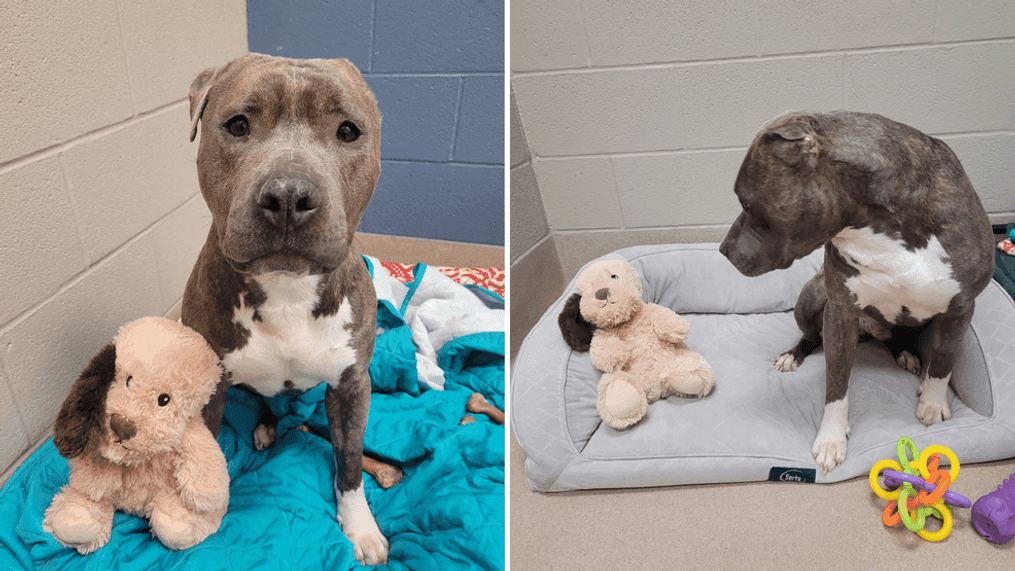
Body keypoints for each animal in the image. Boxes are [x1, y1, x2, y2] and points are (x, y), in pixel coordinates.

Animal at [182, 52, 387, 563]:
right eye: (237, 125)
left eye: (348, 131)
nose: (290, 195)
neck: (287, 289)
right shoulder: (210, 391)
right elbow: (206, 456)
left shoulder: (352, 386)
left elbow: (350, 461)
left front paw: (361, 527)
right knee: (265, 399)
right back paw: (265, 427)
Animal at [718, 110, 994, 474]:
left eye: (746, 202)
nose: (724, 249)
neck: (880, 226)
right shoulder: (840, 311)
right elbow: (836, 384)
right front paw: (831, 440)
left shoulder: (961, 308)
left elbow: (944, 360)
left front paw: (933, 403)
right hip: (812, 297)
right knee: (811, 335)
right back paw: (793, 355)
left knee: (900, 337)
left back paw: (906, 354)